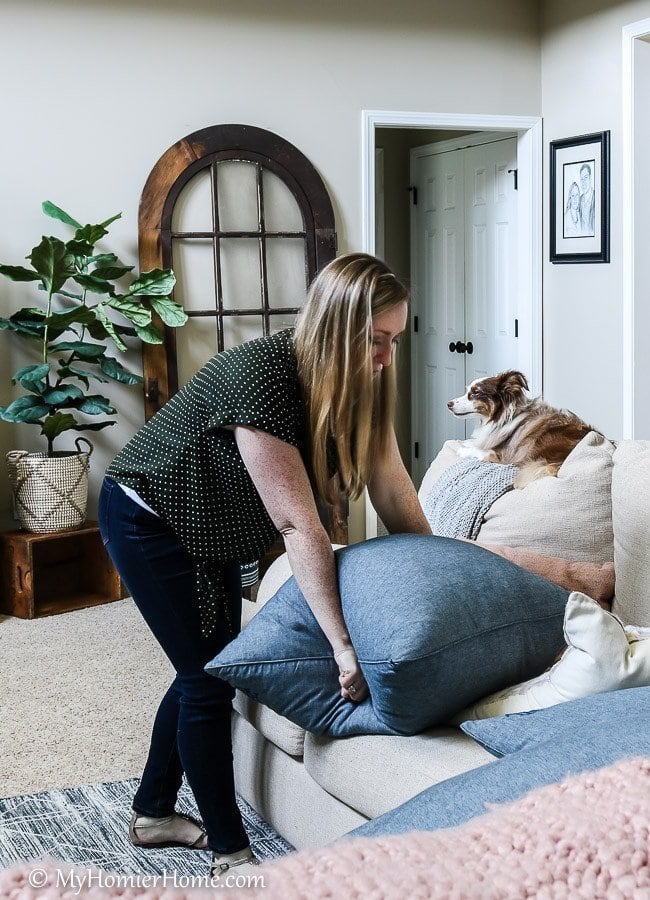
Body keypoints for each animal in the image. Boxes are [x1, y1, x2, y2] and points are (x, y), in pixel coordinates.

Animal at [446, 370, 596, 486]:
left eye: (476, 392)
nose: (448, 404)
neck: (502, 418)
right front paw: (467, 442)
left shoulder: (502, 456)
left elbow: (480, 450)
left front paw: (463, 449)